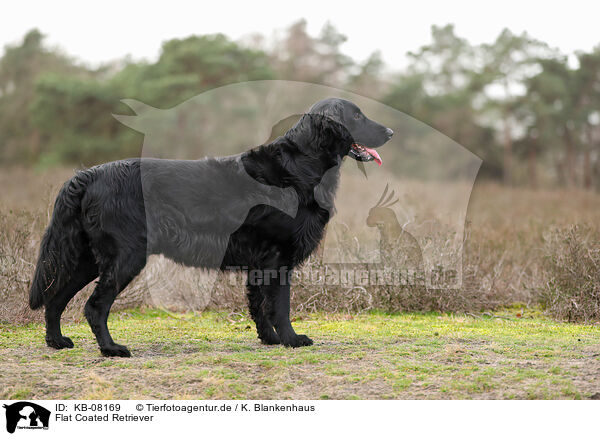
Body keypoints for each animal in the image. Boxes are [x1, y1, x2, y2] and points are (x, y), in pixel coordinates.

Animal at [29, 97, 394, 356]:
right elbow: (280, 306)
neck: (301, 165)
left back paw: (56, 341)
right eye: (356, 116)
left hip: (89, 258)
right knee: (94, 306)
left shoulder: (260, 262)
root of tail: (87, 175)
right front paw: (292, 339)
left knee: (55, 297)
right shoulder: (278, 258)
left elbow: (258, 305)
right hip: (125, 256)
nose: (391, 132)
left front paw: (270, 340)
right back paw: (111, 349)